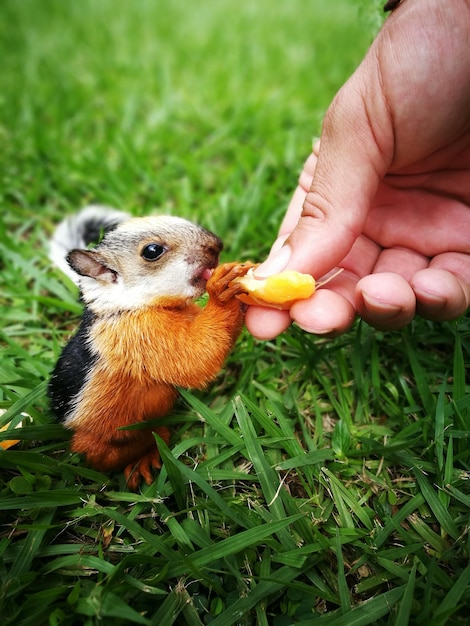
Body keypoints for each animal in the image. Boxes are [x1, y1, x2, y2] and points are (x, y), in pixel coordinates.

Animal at [47, 205, 253, 488]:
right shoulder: (136, 337)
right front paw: (223, 291)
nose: (217, 244)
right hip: (101, 443)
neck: (131, 307)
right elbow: (194, 359)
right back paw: (140, 462)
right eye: (152, 251)